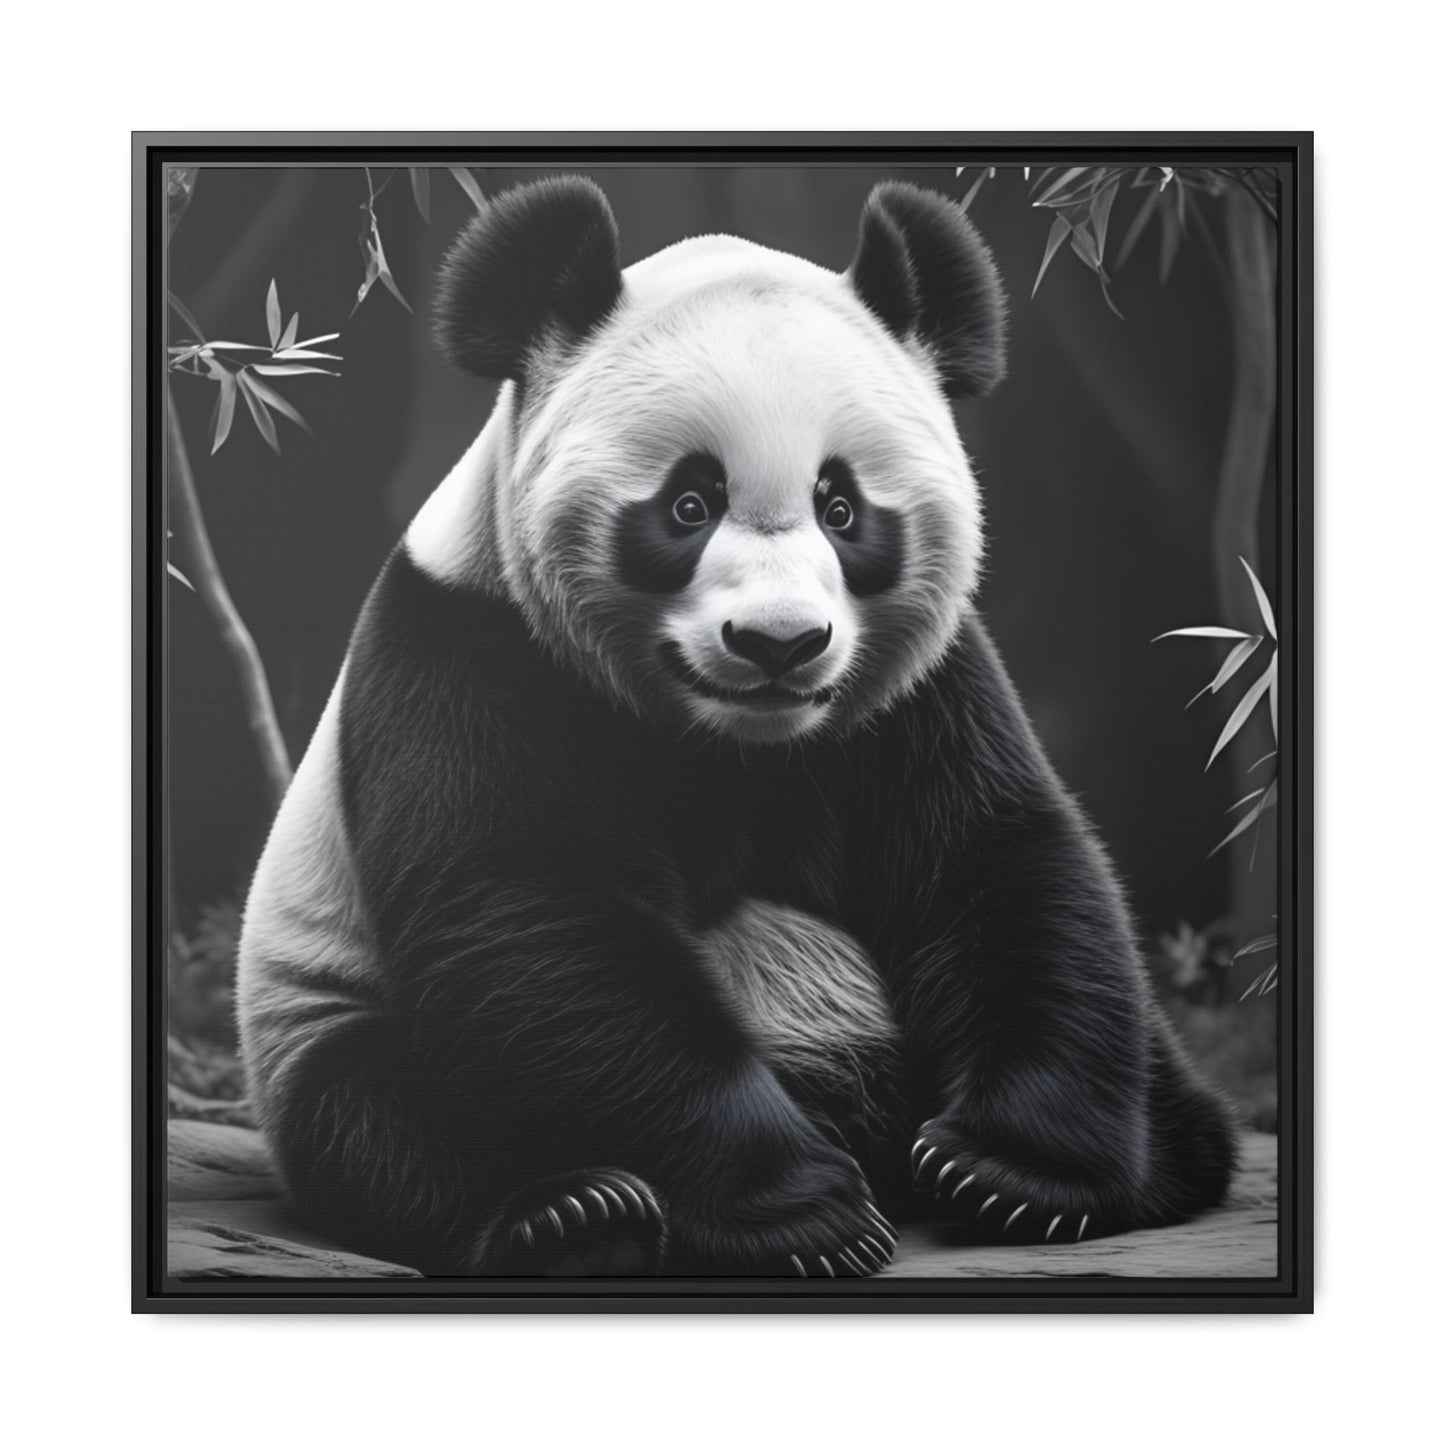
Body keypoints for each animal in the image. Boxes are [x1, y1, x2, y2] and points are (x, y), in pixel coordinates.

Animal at [237, 176, 1237, 1278]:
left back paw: (1164, 1152)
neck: (733, 744)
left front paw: (1009, 1173)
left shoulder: (918, 691)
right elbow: (533, 915)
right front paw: (802, 1215)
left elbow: (993, 861)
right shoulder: (473, 654)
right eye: (687, 502)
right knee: (383, 1117)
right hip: (316, 1014)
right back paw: (577, 1216)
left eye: (841, 506)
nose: (778, 643)